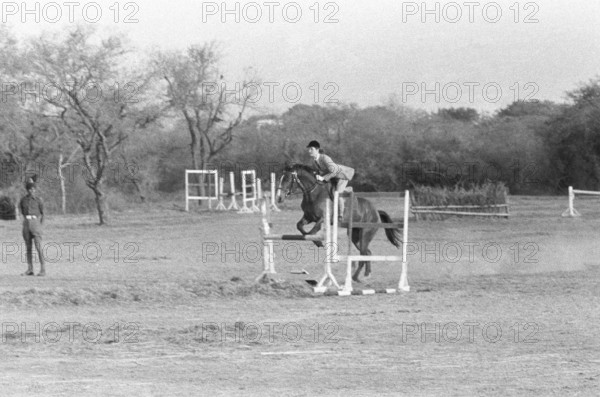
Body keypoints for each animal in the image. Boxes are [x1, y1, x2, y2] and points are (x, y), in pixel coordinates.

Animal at [276, 162, 404, 282]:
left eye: (287, 179)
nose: (279, 198)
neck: (314, 193)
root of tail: (376, 211)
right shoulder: (308, 217)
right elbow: (300, 227)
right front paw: (316, 241)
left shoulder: (323, 218)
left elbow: (313, 231)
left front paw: (318, 242)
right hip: (355, 236)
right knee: (368, 253)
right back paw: (366, 275)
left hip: (365, 235)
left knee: (364, 254)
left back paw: (355, 277)